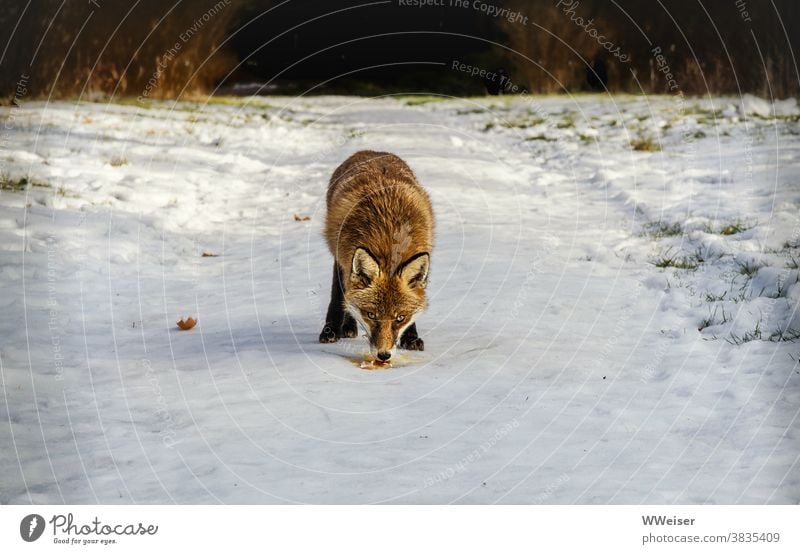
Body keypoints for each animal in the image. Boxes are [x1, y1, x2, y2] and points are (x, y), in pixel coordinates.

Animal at [318, 149, 434, 360]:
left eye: (400, 318)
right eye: (371, 315)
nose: (383, 355)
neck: (388, 236)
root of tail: (371, 151)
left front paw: (411, 337)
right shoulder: (342, 255)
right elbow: (340, 295)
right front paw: (331, 330)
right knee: (341, 290)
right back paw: (341, 326)